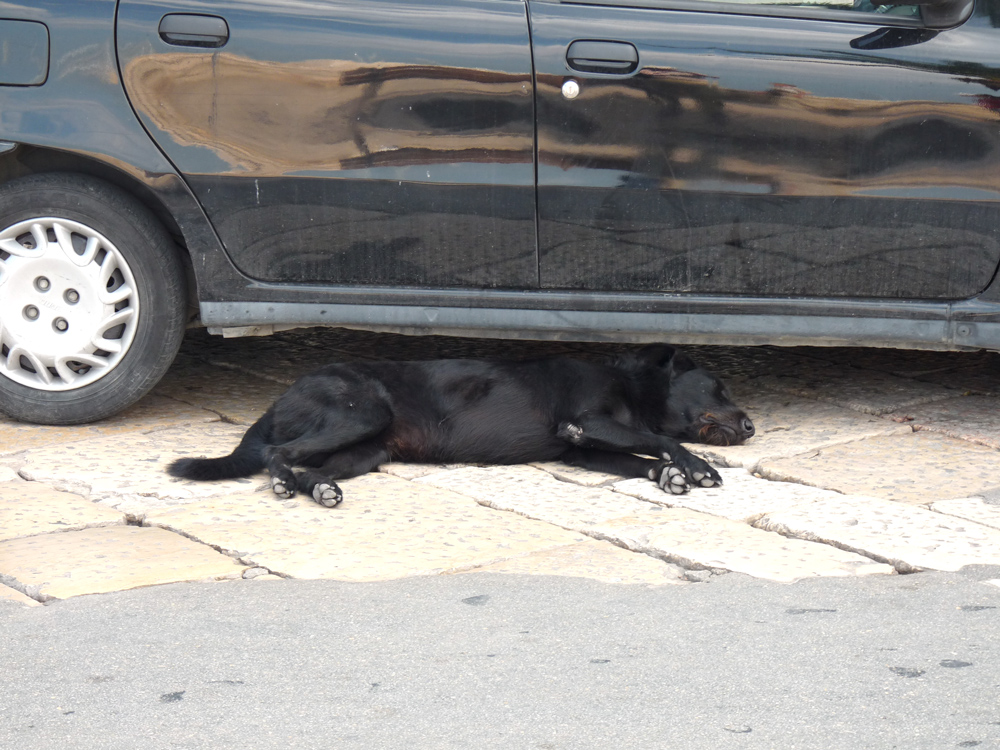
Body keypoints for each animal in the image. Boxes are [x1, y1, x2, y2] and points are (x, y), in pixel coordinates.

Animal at [168, 346, 752, 508]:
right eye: (718, 388)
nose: (750, 425)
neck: (632, 387)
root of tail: (281, 396)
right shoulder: (584, 422)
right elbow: (663, 438)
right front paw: (695, 467)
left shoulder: (585, 451)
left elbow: (638, 459)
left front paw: (669, 475)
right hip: (361, 413)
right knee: (277, 454)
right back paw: (284, 484)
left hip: (365, 452)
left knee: (308, 465)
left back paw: (319, 489)